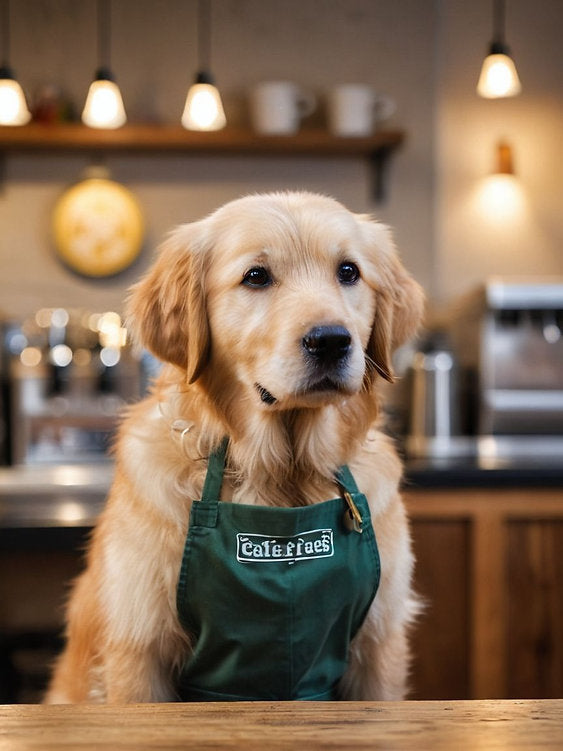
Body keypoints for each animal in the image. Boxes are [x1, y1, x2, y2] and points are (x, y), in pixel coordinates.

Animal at [45, 189, 424, 704]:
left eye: (348, 272)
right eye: (256, 276)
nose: (331, 341)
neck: (281, 474)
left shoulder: (378, 642)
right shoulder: (139, 650)